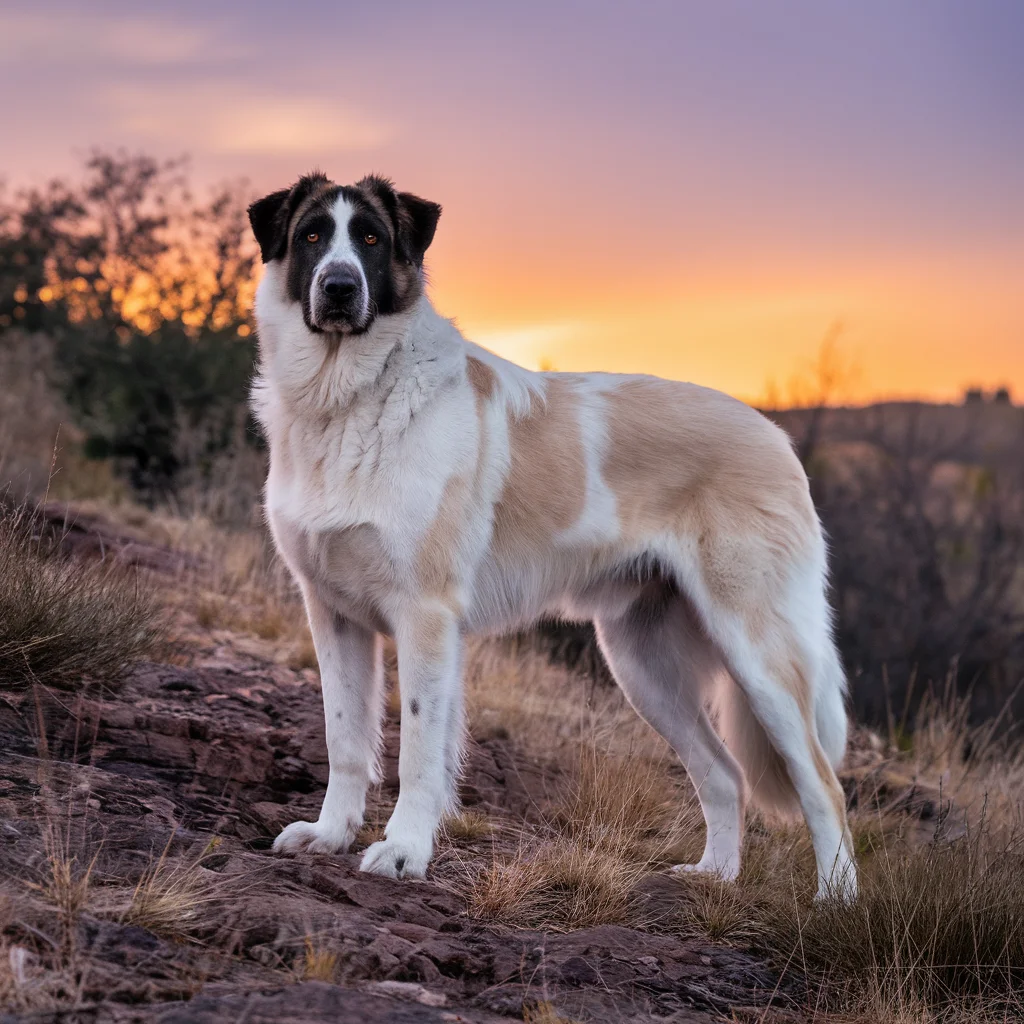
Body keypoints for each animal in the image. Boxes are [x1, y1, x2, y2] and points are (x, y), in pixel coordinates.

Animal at [247, 174, 856, 897]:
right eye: (313, 235)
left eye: (370, 237)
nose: (339, 287)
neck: (350, 397)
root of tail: (776, 438)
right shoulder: (334, 614)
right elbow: (344, 739)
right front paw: (331, 835)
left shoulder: (425, 618)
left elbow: (417, 753)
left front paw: (402, 852)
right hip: (643, 665)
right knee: (724, 774)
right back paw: (712, 877)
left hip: (757, 653)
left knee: (823, 786)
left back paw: (836, 903)